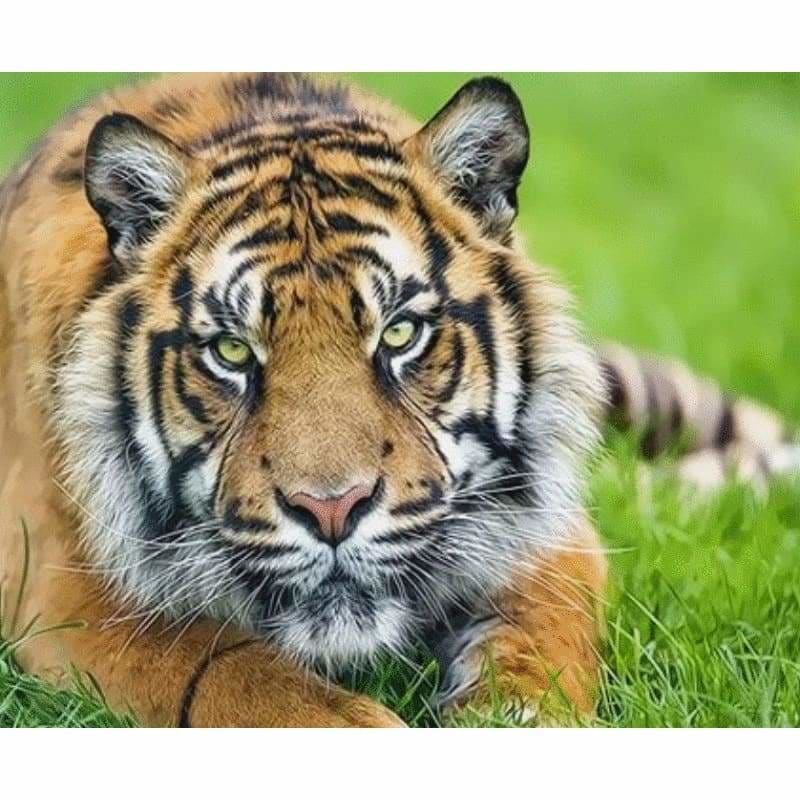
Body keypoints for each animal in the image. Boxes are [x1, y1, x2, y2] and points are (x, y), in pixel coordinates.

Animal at [0, 73, 797, 727]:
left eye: (400, 333)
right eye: (232, 352)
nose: (331, 510)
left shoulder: (549, 536)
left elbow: (539, 648)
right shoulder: (70, 595)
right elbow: (238, 675)